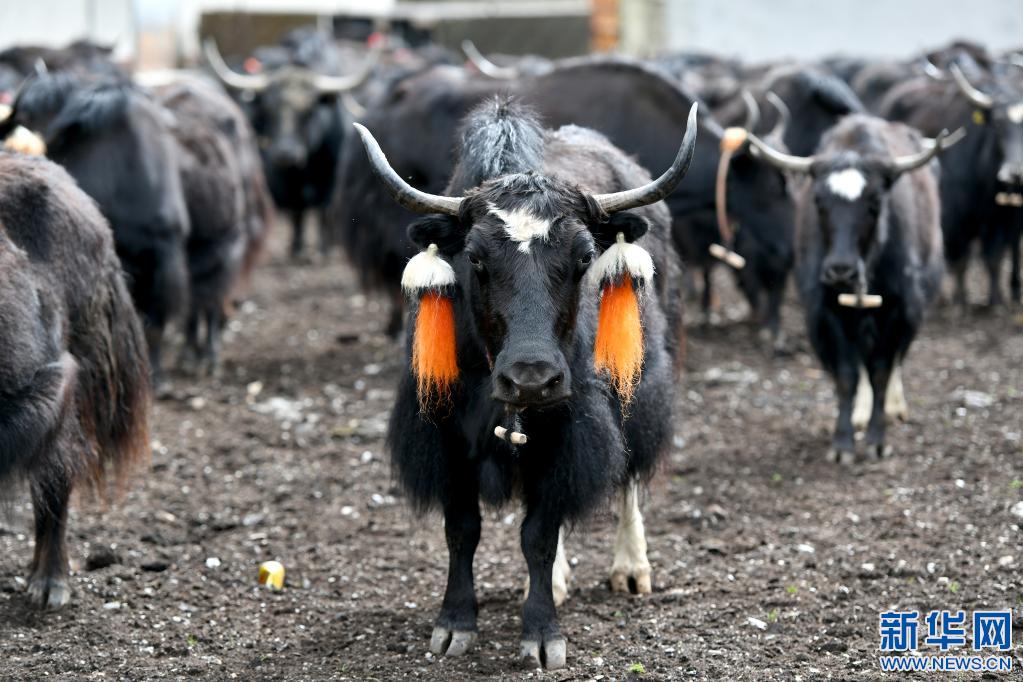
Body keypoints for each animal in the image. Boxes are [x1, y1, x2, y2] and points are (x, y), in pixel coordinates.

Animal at [204, 38, 373, 259]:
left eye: (310, 110)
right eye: (268, 109)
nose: (286, 152)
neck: (306, 167)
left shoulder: (332, 178)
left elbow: (324, 212)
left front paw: (323, 250)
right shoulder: (286, 180)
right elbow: (296, 212)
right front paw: (296, 248)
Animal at [353, 97, 697, 669]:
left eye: (584, 258)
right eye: (474, 257)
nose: (532, 380)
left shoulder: (570, 431)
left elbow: (538, 534)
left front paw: (541, 636)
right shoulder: (444, 436)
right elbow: (461, 529)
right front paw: (453, 626)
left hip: (640, 377)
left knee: (629, 471)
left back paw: (630, 570)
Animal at [747, 115, 959, 463]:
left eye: (874, 203)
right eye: (819, 201)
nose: (840, 271)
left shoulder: (899, 309)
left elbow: (883, 370)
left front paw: (876, 440)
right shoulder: (826, 312)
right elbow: (847, 375)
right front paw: (843, 444)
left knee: (895, 361)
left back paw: (893, 408)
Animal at [882, 62, 1023, 305]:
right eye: (997, 123)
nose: (1015, 172)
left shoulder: (1001, 221)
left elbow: (994, 259)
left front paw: (996, 301)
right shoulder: (956, 219)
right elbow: (960, 261)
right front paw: (960, 301)